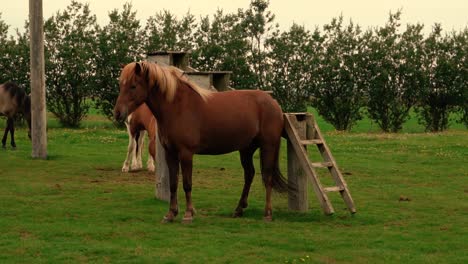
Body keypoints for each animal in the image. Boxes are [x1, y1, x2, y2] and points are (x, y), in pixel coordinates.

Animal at [114, 62, 288, 223]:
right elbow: (173, 184)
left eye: (133, 86)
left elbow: (187, 183)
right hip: (246, 149)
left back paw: (267, 214)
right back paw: (239, 210)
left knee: (267, 177)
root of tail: (274, 104)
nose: (117, 113)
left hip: (268, 147)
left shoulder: (186, 153)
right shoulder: (170, 153)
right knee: (249, 174)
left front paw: (188, 214)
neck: (178, 107)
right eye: (121, 85)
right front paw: (170, 214)